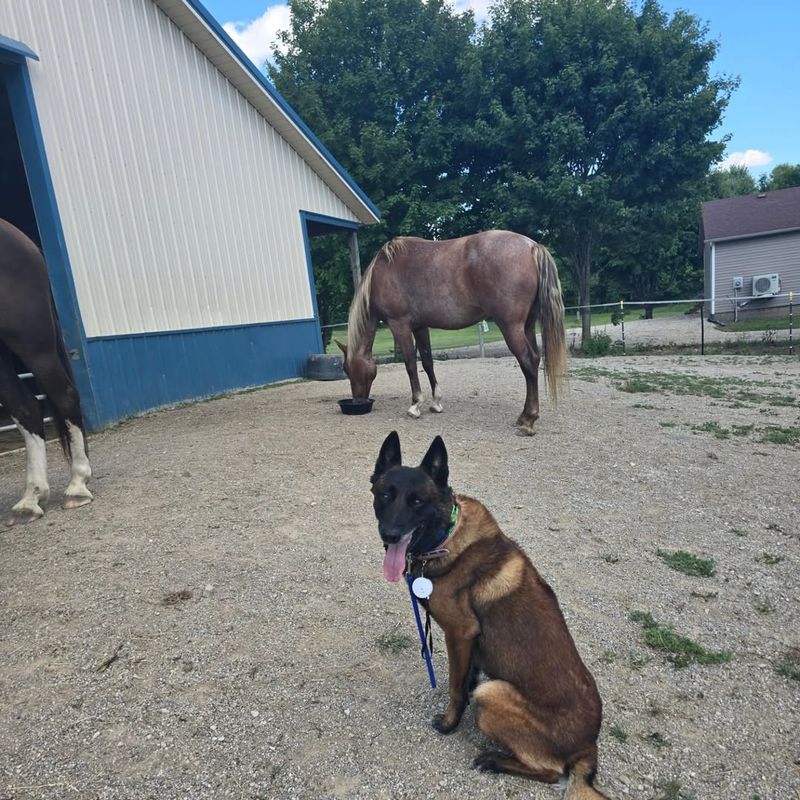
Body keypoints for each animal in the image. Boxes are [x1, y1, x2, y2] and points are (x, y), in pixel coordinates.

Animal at [338, 228, 568, 434]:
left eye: (347, 369)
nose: (357, 400)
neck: (382, 272)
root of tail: (532, 246)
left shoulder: (399, 324)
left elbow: (410, 364)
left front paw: (415, 405)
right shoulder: (420, 326)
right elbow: (428, 363)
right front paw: (436, 403)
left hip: (511, 326)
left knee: (528, 361)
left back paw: (528, 420)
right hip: (527, 325)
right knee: (535, 360)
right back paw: (523, 416)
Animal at [372, 434, 608, 796]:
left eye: (417, 501)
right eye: (386, 494)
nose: (390, 534)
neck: (446, 536)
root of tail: (589, 748)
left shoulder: (459, 633)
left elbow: (456, 687)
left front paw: (449, 724)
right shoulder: (469, 646)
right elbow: (465, 678)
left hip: (493, 694)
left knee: (552, 772)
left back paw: (494, 760)